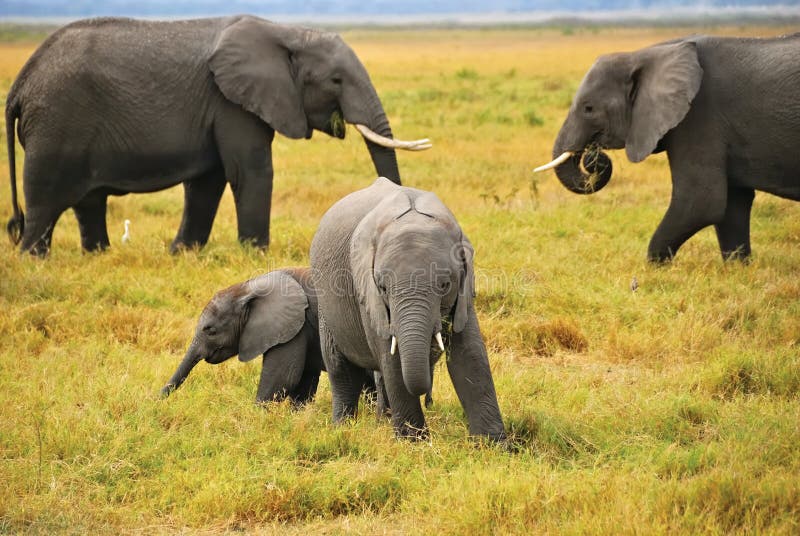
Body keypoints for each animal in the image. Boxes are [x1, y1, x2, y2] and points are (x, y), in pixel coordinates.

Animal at [5, 15, 430, 256]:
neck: (287, 33)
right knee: (44, 201)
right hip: (55, 125)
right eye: (336, 81)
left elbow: (207, 182)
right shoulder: (231, 102)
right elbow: (251, 172)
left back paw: (100, 256)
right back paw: (33, 259)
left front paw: (182, 254)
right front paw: (257, 257)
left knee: (88, 202)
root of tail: (20, 84)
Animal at [160, 267, 375, 405]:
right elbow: (303, 381)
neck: (248, 288)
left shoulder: (296, 325)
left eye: (210, 330)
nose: (156, 401)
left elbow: (283, 377)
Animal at [310, 177, 505, 441]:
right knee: (341, 370)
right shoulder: (368, 294)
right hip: (325, 304)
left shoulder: (464, 293)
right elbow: (392, 358)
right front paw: (414, 443)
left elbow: (470, 353)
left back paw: (383, 420)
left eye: (445, 285)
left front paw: (493, 444)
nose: (428, 397)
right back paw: (343, 428)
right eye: (382, 287)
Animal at [535, 33, 800, 262]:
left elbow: (701, 202)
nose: (593, 156)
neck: (648, 54)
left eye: (588, 108)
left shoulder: (699, 116)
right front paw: (737, 269)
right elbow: (732, 204)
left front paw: (653, 268)